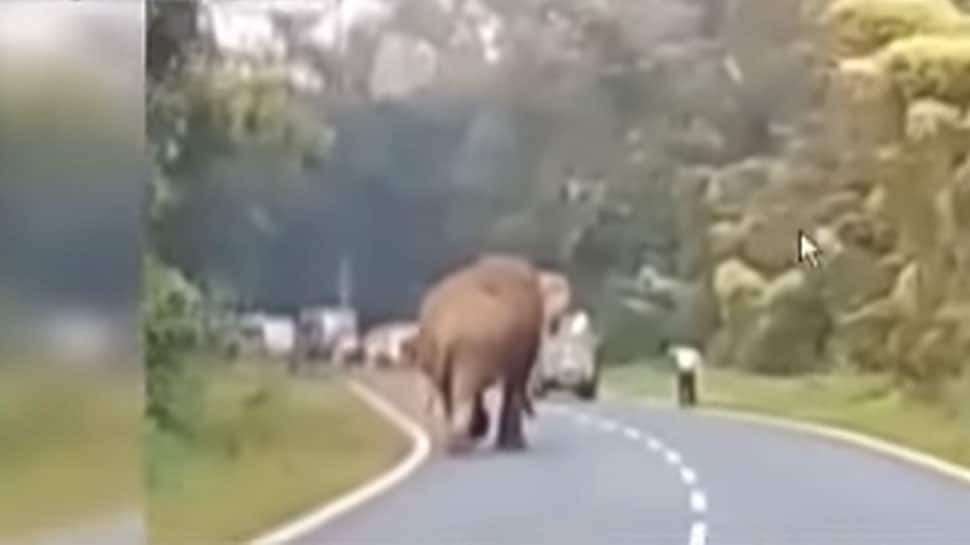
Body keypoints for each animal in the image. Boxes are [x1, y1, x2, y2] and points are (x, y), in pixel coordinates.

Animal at [402, 253, 544, 452]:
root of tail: (445, 329)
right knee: (462, 390)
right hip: (474, 344)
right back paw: (461, 444)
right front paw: (513, 444)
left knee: (449, 391)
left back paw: (454, 442)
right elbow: (514, 384)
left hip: (445, 350)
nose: (534, 414)